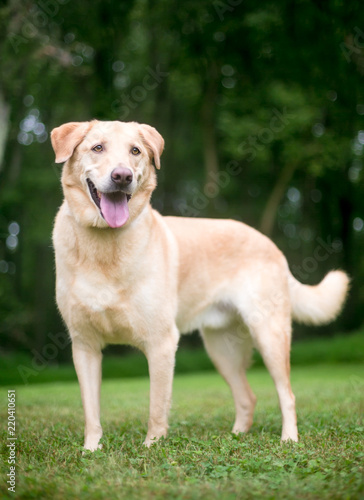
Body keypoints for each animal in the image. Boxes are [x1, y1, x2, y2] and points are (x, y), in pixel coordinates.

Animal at [49, 120, 348, 450]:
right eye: (98, 147)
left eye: (135, 151)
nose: (122, 176)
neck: (103, 248)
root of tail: (269, 243)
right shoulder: (84, 346)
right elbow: (91, 411)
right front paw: (90, 450)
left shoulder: (161, 343)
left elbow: (156, 407)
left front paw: (151, 448)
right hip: (222, 349)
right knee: (248, 397)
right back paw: (236, 437)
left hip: (270, 335)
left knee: (288, 394)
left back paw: (289, 439)